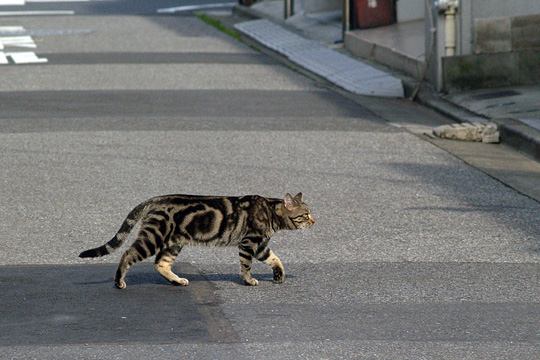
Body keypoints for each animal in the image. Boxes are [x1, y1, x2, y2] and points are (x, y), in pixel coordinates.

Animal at [78, 193, 314, 288]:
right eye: (305, 214)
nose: (315, 221)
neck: (270, 211)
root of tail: (155, 199)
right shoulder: (249, 243)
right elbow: (246, 266)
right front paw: (248, 280)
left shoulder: (261, 245)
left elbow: (275, 259)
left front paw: (279, 276)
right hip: (154, 237)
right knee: (128, 254)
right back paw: (119, 282)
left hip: (173, 243)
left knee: (160, 264)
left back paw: (177, 281)